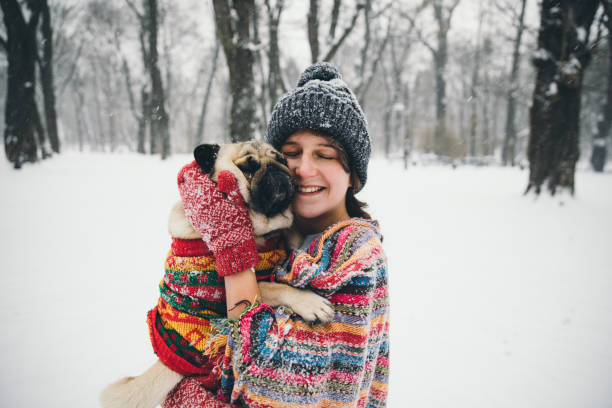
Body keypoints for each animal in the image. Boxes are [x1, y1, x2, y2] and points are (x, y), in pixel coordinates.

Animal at [101, 142, 334, 408]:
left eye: (283, 160)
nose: (277, 170)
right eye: (248, 167)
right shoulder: (231, 291)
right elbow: (278, 287)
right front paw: (311, 303)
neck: (260, 234)